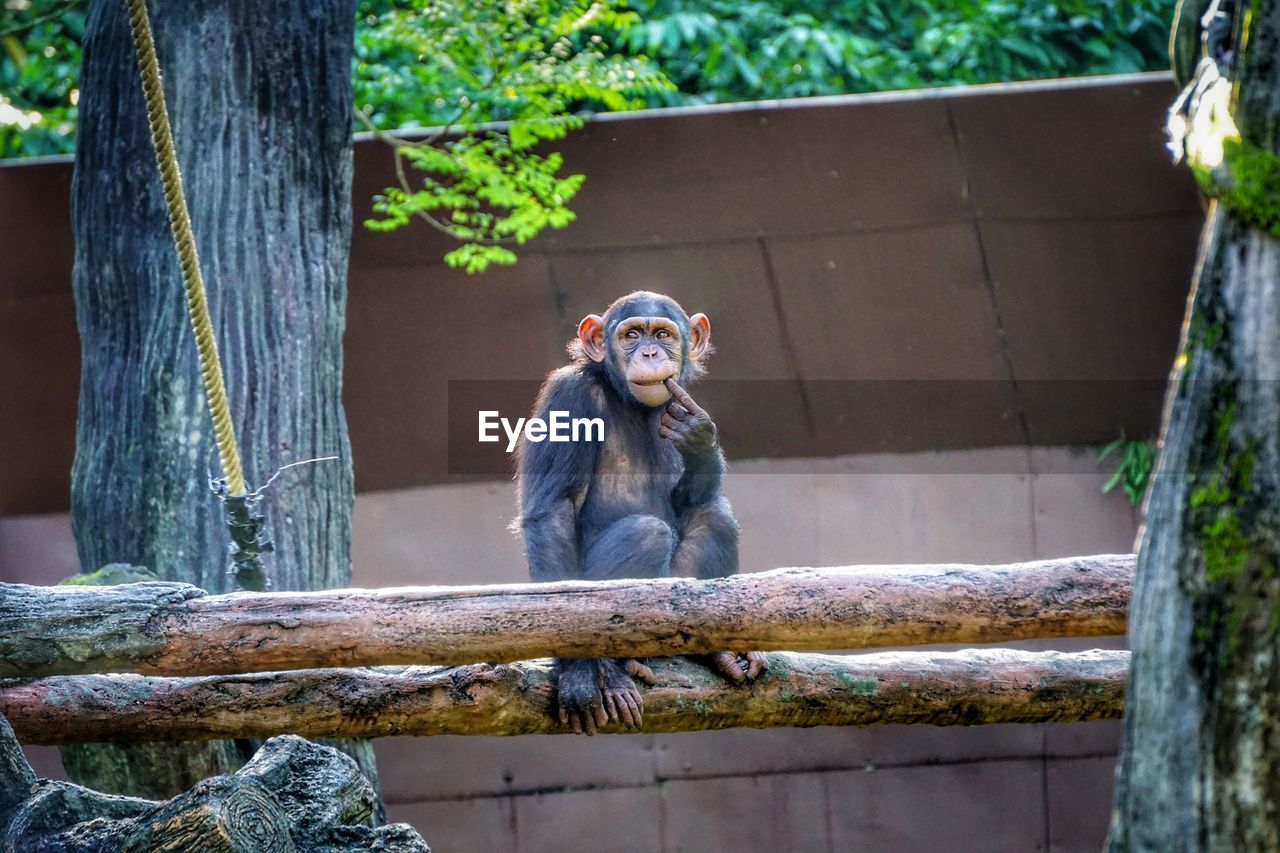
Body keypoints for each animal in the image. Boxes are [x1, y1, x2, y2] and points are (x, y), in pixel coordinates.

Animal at [512, 290, 768, 732]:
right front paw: (577, 675)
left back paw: (715, 652)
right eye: (631, 335)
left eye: (663, 335)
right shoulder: (568, 396)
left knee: (714, 517)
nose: (649, 352)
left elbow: (692, 498)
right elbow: (553, 512)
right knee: (646, 533)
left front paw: (699, 438)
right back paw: (611, 670)